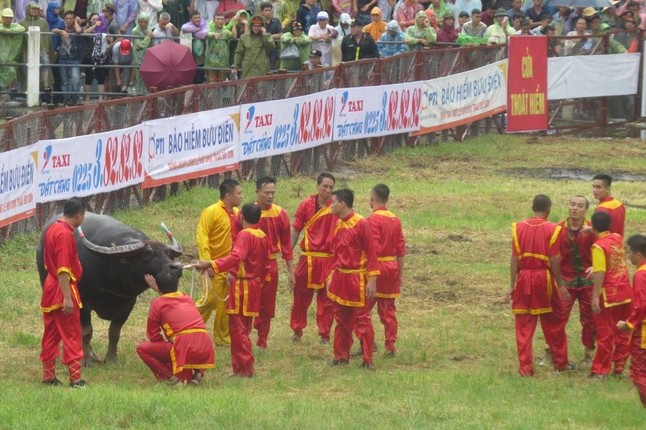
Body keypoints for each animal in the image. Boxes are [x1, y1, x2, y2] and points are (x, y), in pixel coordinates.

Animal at [36, 212, 184, 366]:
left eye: (168, 253)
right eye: (146, 254)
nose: (177, 267)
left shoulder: (127, 305)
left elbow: (114, 332)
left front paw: (112, 358)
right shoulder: (82, 303)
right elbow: (86, 331)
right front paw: (86, 360)